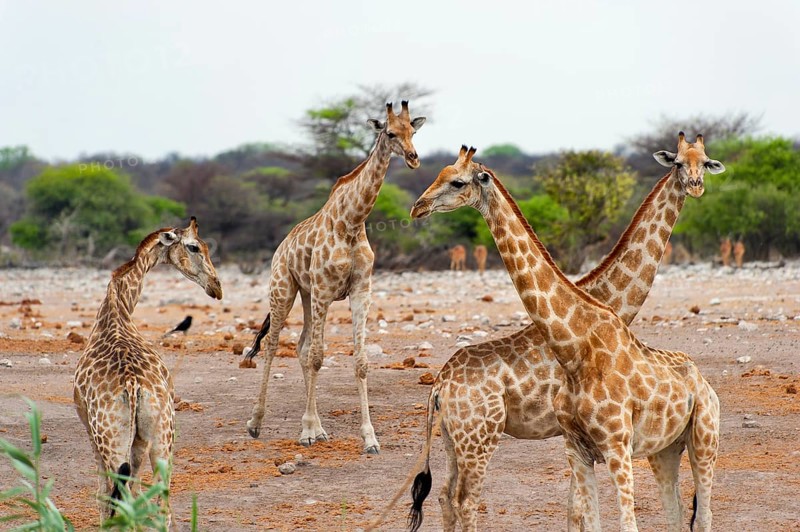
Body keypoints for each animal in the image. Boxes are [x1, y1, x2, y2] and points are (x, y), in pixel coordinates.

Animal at [74, 218, 222, 523]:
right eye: (194, 247)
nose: (217, 287)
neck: (119, 306)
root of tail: (133, 386)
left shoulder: (88, 427)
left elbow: (102, 495)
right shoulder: (141, 440)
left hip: (113, 439)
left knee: (125, 499)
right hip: (164, 436)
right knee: (160, 501)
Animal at [241, 101, 426, 454]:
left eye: (413, 129)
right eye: (390, 133)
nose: (413, 158)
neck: (351, 222)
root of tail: (281, 247)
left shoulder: (361, 290)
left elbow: (359, 360)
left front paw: (369, 438)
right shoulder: (325, 290)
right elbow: (318, 357)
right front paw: (305, 433)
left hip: (307, 294)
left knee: (300, 347)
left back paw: (318, 426)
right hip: (284, 289)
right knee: (273, 345)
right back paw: (256, 423)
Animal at [368, 134, 725, 531]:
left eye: (705, 162)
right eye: (677, 163)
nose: (418, 207)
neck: (607, 300)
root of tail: (440, 384)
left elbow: (576, 510)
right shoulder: (577, 437)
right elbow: (580, 510)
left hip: (452, 438)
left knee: (445, 496)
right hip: (479, 436)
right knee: (464, 500)